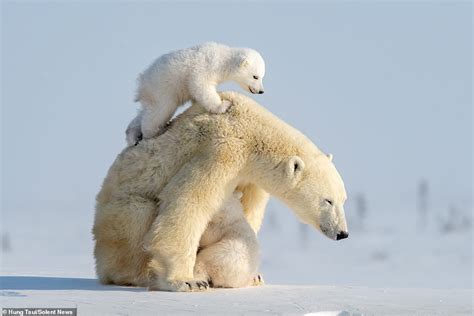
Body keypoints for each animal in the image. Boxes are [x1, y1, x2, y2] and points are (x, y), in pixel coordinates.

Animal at [92, 91, 346, 292]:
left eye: (343, 199)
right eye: (328, 200)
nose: (342, 233)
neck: (252, 130)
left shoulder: (248, 175)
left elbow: (248, 208)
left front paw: (255, 274)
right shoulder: (222, 148)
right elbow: (187, 201)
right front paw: (185, 281)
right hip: (120, 213)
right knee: (138, 219)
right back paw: (141, 274)